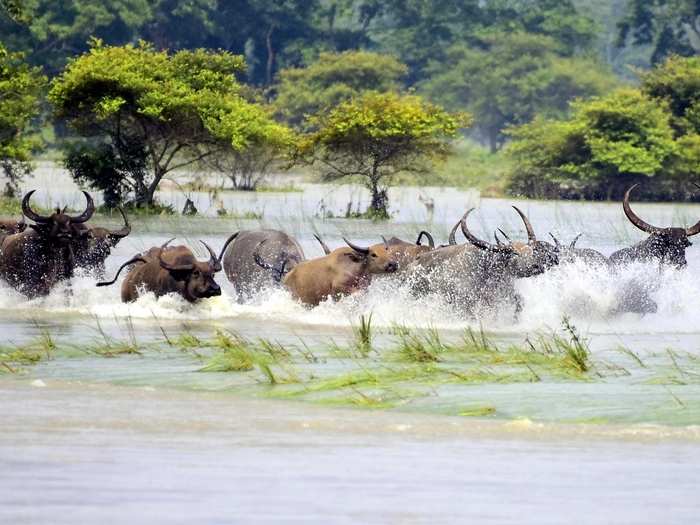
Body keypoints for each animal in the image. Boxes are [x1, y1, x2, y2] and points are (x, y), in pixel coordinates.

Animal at [256, 236, 400, 304]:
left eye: (387, 251)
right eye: (373, 254)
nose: (393, 264)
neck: (357, 269)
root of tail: (286, 276)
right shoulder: (338, 289)